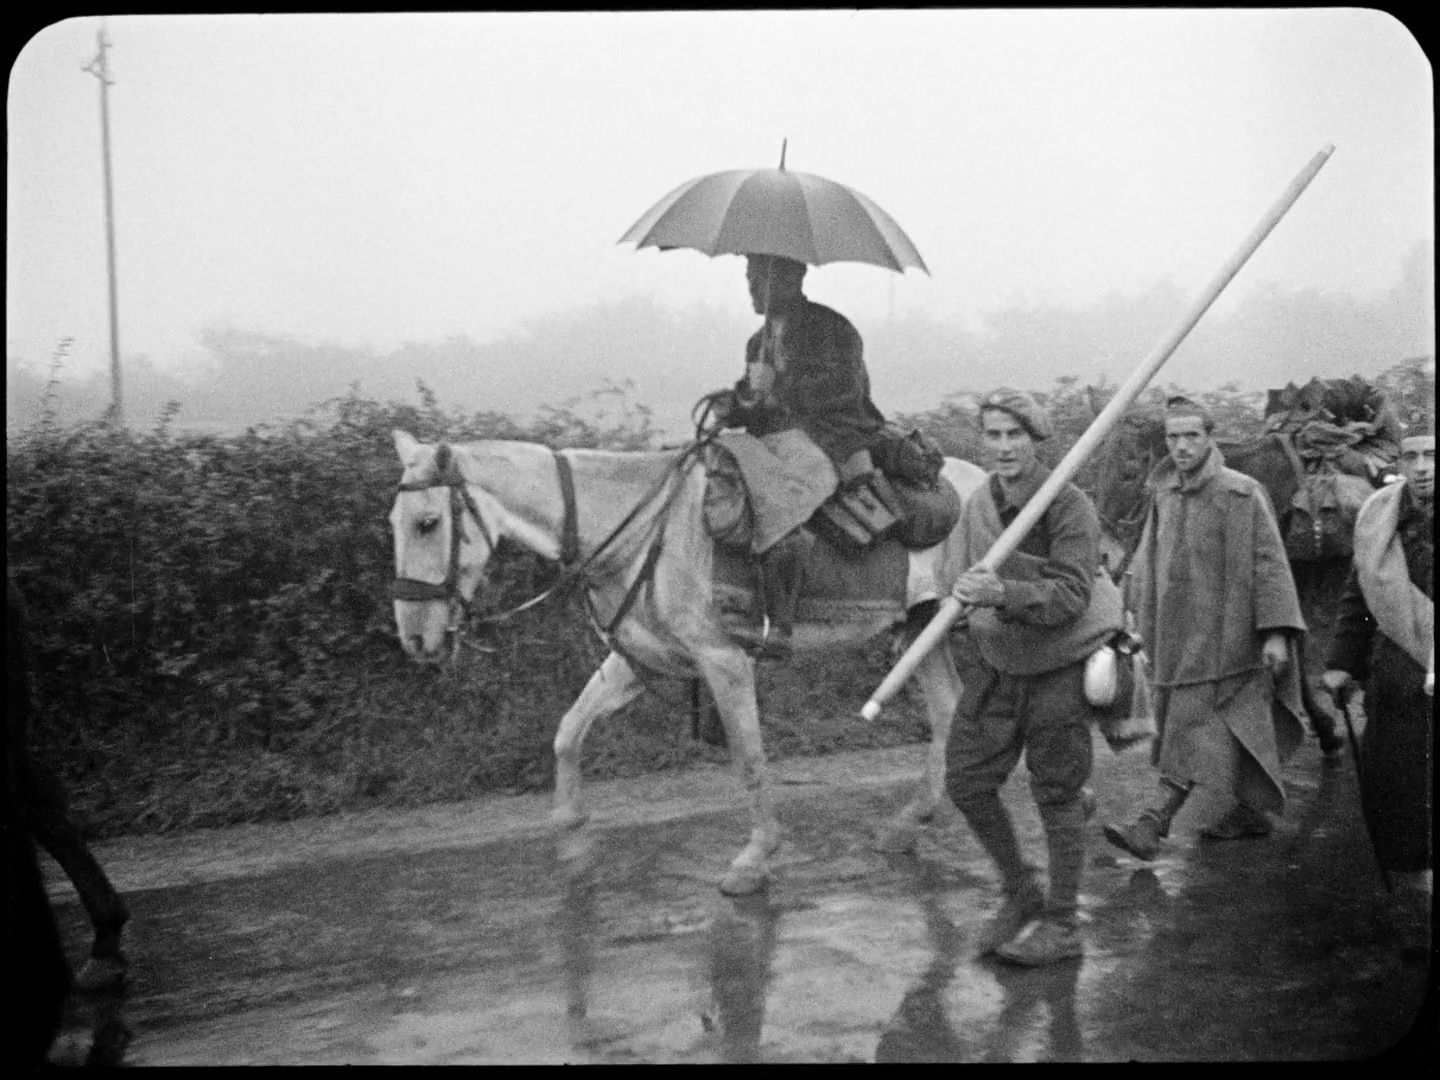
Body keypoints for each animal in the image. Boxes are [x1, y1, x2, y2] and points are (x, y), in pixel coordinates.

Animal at [388, 432, 984, 898]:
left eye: (427, 523)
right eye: (394, 522)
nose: (416, 638)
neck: (639, 531)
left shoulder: (724, 660)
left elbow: (750, 758)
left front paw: (754, 861)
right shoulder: (637, 662)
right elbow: (568, 731)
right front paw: (572, 837)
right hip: (922, 630)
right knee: (948, 710)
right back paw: (908, 823)